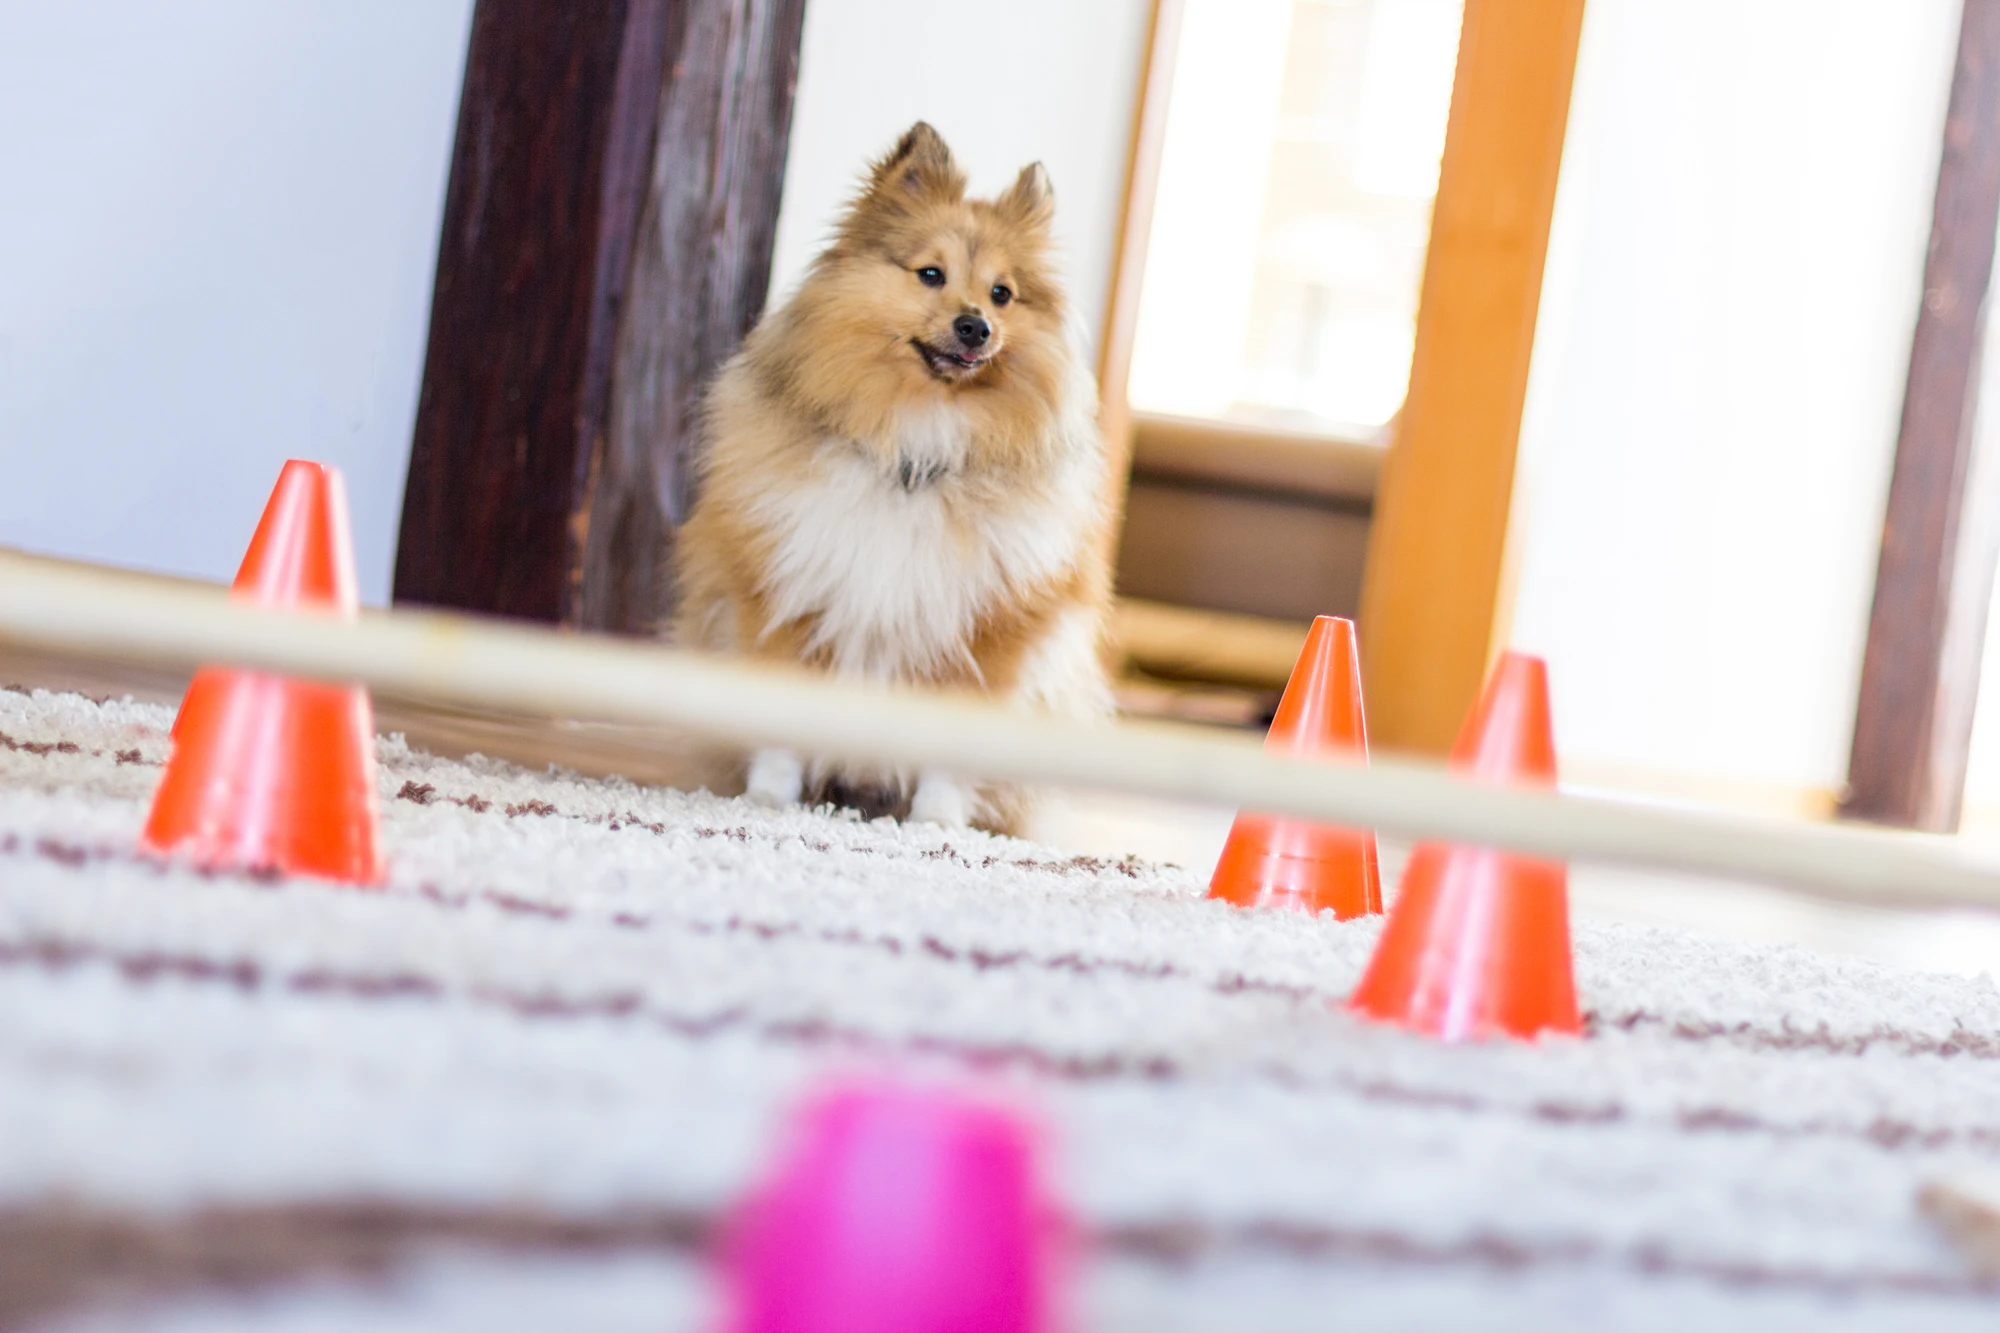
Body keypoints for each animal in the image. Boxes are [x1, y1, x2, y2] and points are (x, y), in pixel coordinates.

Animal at [676, 124, 1120, 832]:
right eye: (930, 274)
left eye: (1003, 293)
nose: (976, 326)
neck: (919, 443)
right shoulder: (785, 596)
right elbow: (779, 720)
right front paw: (770, 798)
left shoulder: (988, 632)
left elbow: (953, 745)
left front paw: (936, 820)